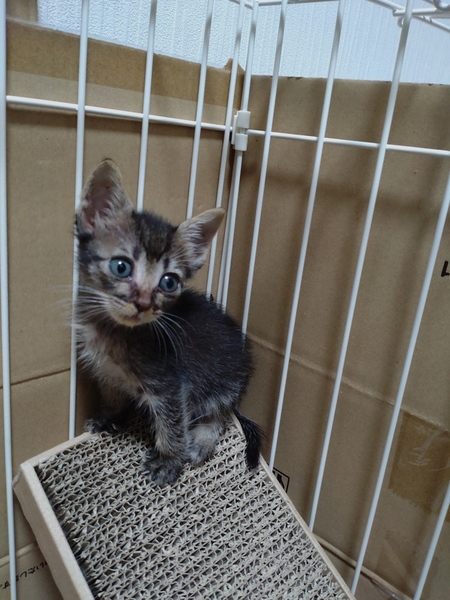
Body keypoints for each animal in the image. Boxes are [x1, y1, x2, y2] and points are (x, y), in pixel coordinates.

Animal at [74, 159, 261, 485]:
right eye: (121, 267)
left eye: (169, 282)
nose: (144, 303)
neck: (115, 332)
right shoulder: (105, 371)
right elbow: (112, 394)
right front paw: (108, 415)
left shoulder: (172, 385)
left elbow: (172, 424)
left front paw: (168, 461)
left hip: (223, 384)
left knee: (220, 415)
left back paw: (201, 442)